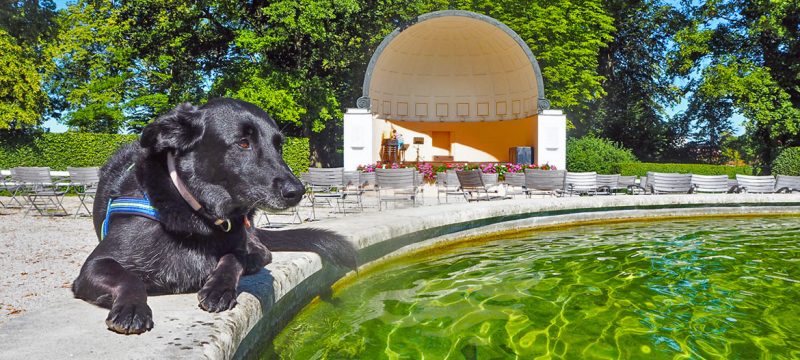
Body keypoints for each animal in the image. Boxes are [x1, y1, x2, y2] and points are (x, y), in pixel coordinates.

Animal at [74, 97, 356, 334]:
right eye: (243, 143)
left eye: (279, 147)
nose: (296, 191)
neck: (196, 214)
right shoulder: (94, 265)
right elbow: (129, 277)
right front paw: (132, 308)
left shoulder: (235, 241)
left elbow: (234, 258)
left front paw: (219, 287)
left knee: (261, 251)